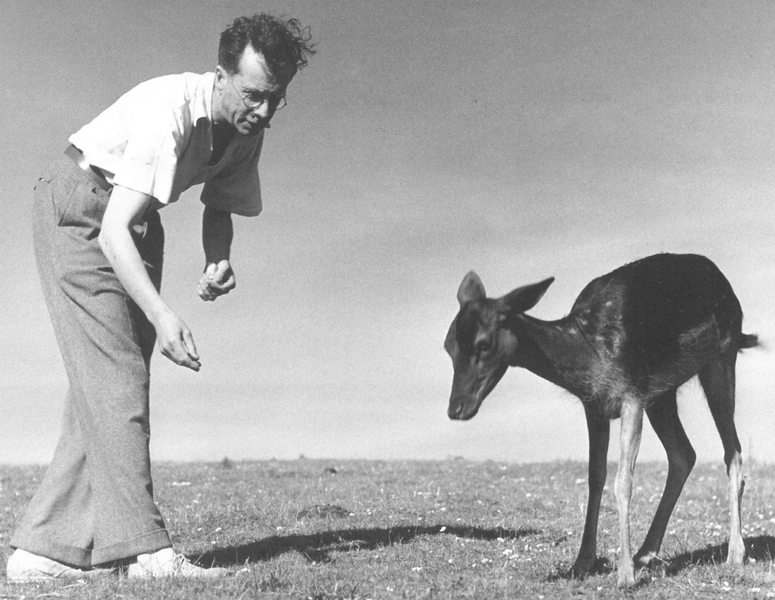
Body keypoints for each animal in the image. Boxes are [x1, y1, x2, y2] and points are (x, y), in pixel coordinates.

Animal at [445, 253, 758, 587]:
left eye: (483, 343)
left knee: (732, 450)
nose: (456, 408)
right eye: (448, 345)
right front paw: (582, 563)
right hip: (662, 393)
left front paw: (624, 575)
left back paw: (734, 554)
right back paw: (646, 553)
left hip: (720, 359)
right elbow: (595, 477)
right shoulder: (594, 406)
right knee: (684, 454)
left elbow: (623, 481)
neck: (589, 351)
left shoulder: (632, 394)